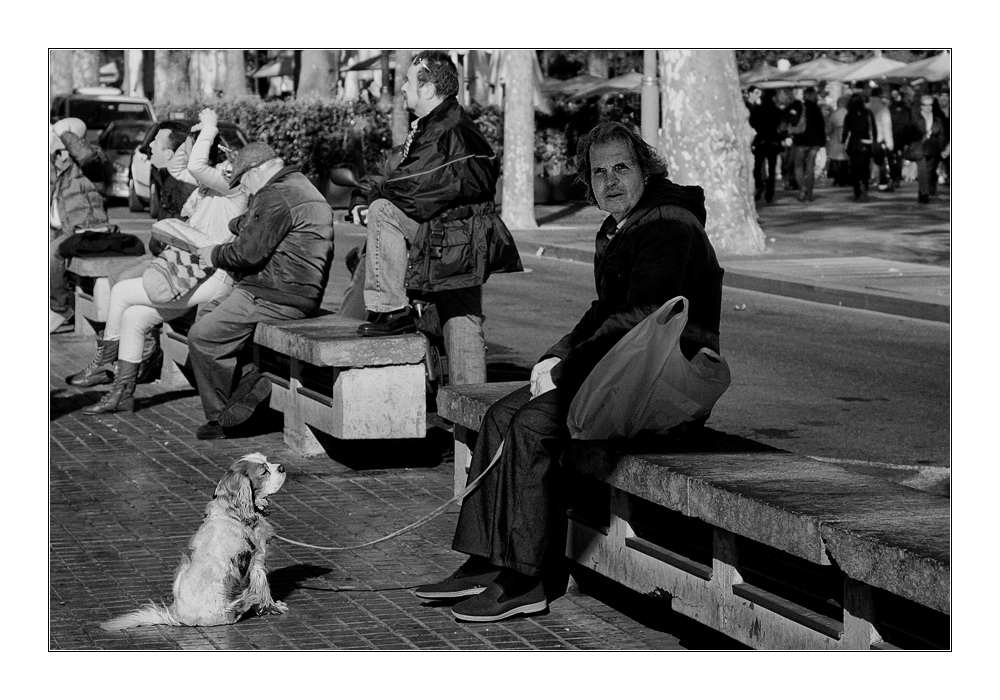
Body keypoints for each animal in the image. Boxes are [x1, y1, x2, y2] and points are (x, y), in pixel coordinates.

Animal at [101, 454, 288, 628]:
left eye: (267, 461)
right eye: (264, 472)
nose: (282, 467)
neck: (233, 513)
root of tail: (179, 618)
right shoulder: (257, 561)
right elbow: (264, 589)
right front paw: (273, 607)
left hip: (182, 567)